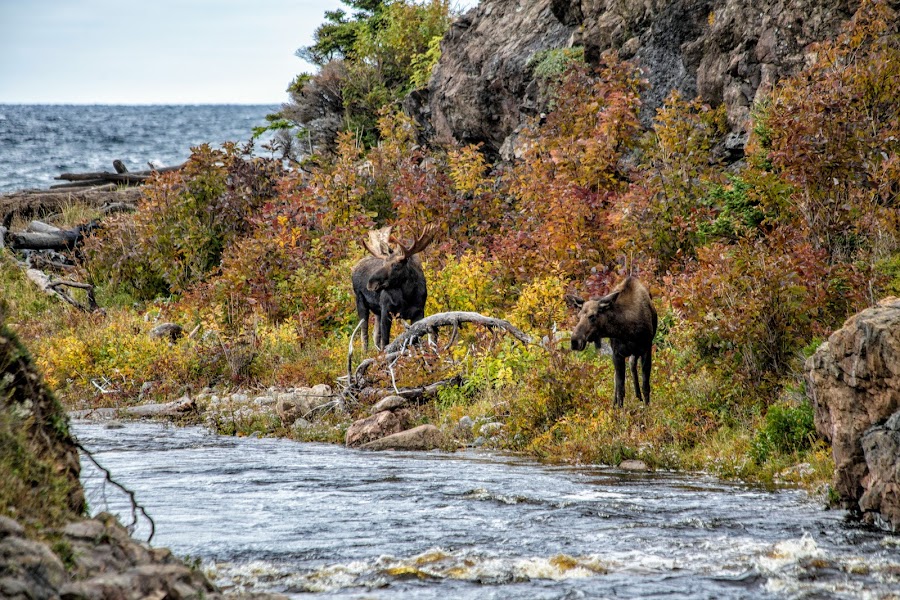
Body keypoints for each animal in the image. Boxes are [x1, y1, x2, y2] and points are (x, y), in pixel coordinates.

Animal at [568, 276, 656, 408]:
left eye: (592, 316)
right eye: (578, 316)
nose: (575, 341)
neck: (626, 331)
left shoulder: (646, 349)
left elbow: (646, 386)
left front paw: (647, 408)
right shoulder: (617, 354)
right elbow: (620, 389)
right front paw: (619, 410)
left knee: (632, 365)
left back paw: (638, 396)